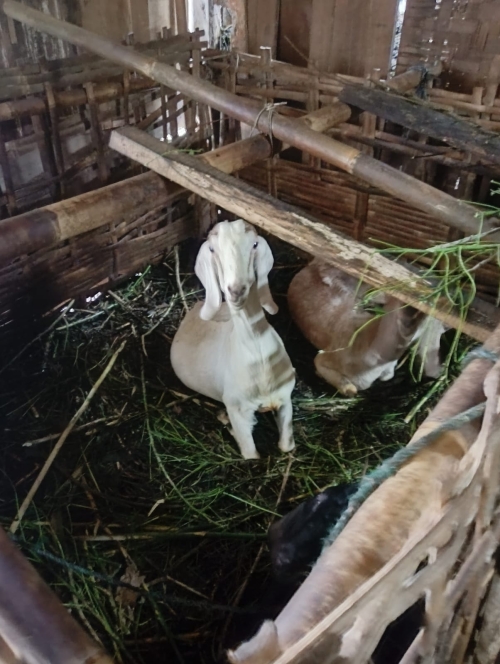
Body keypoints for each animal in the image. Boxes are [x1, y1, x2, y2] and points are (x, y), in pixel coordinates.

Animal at [170, 219, 296, 460]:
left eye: (254, 244)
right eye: (212, 249)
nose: (236, 291)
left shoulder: (285, 398)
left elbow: (287, 446)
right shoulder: (238, 409)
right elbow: (251, 455)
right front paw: (229, 426)